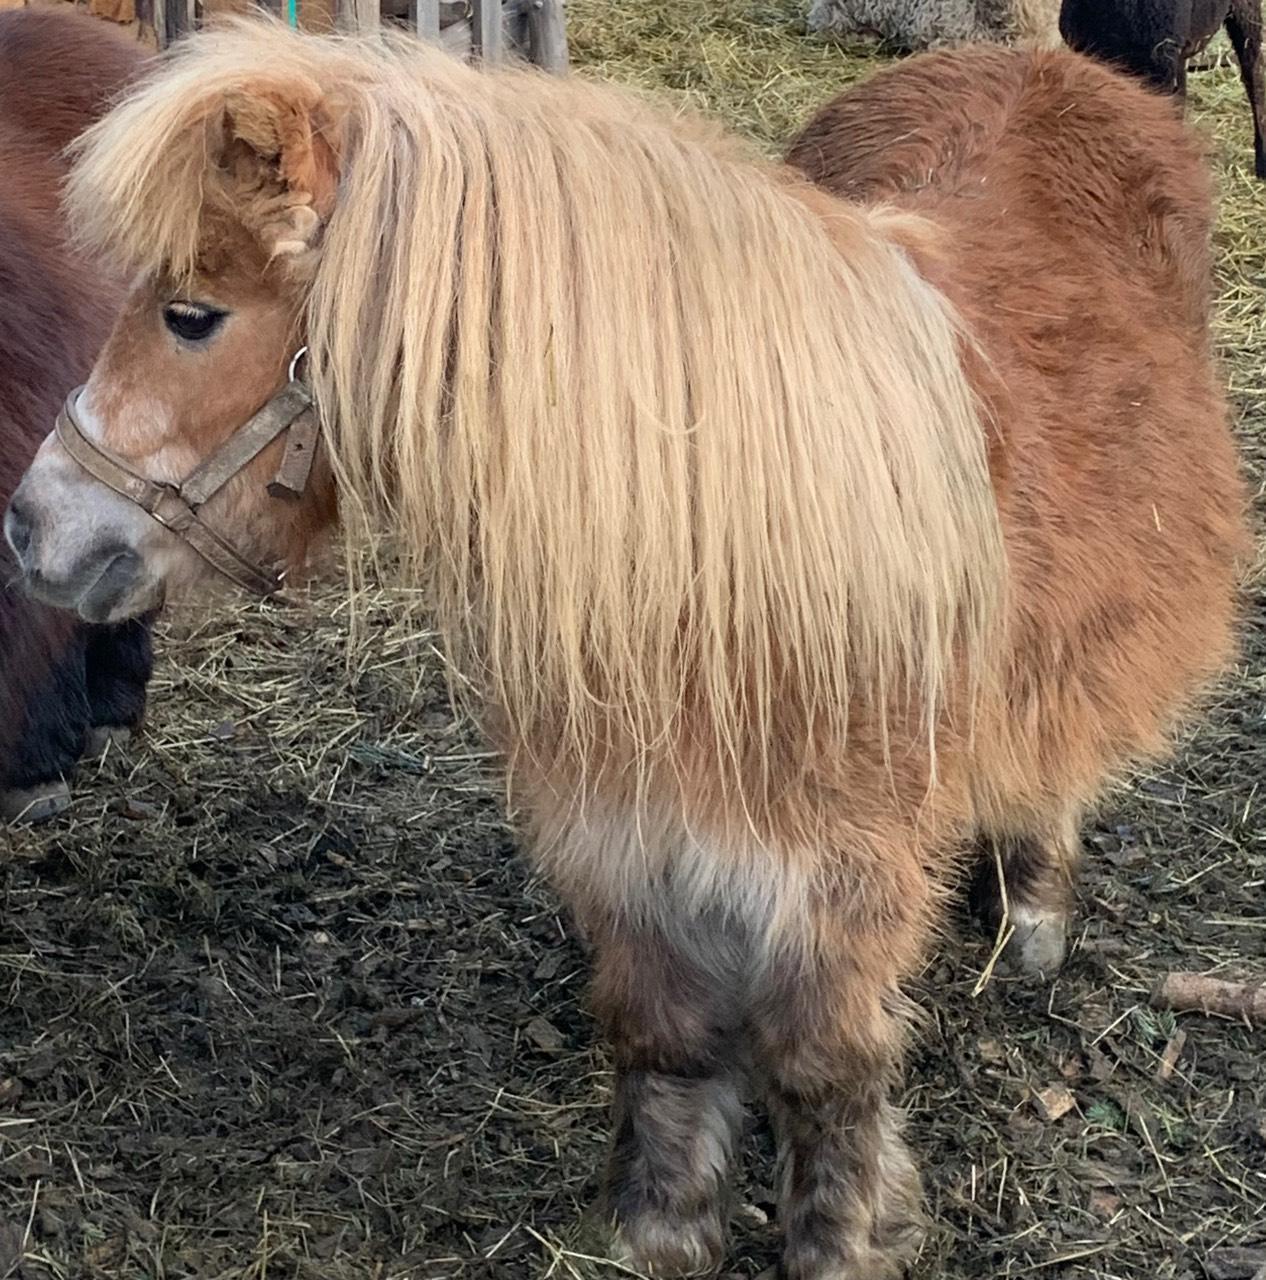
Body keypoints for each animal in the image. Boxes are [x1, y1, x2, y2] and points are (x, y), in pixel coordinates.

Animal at [4, 24, 1249, 1274]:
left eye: (191, 314)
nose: (32, 526)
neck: (717, 549)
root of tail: (1038, 61)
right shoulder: (625, 840)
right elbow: (666, 1038)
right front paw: (663, 1226)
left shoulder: (843, 883)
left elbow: (826, 1066)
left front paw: (844, 1238)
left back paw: (1034, 908)